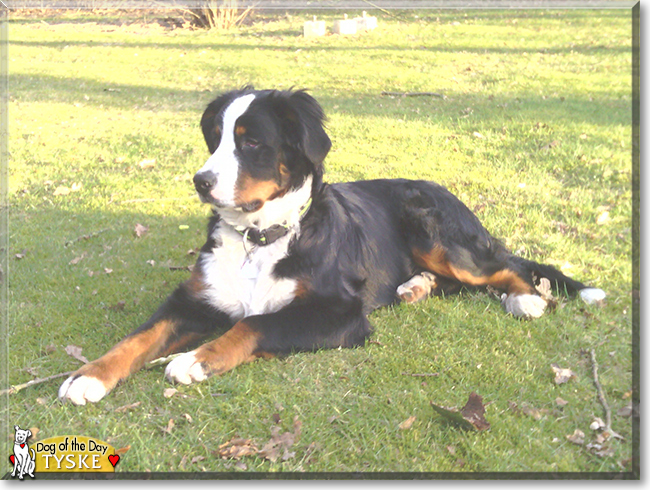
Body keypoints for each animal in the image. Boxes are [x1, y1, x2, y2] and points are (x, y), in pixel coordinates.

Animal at [58, 88, 604, 406]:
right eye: (214, 137)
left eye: (250, 142)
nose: (201, 181)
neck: (260, 237)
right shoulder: (195, 298)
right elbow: (138, 338)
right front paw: (88, 375)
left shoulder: (339, 312)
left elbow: (256, 324)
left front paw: (195, 359)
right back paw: (414, 288)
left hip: (433, 230)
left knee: (502, 265)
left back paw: (526, 298)